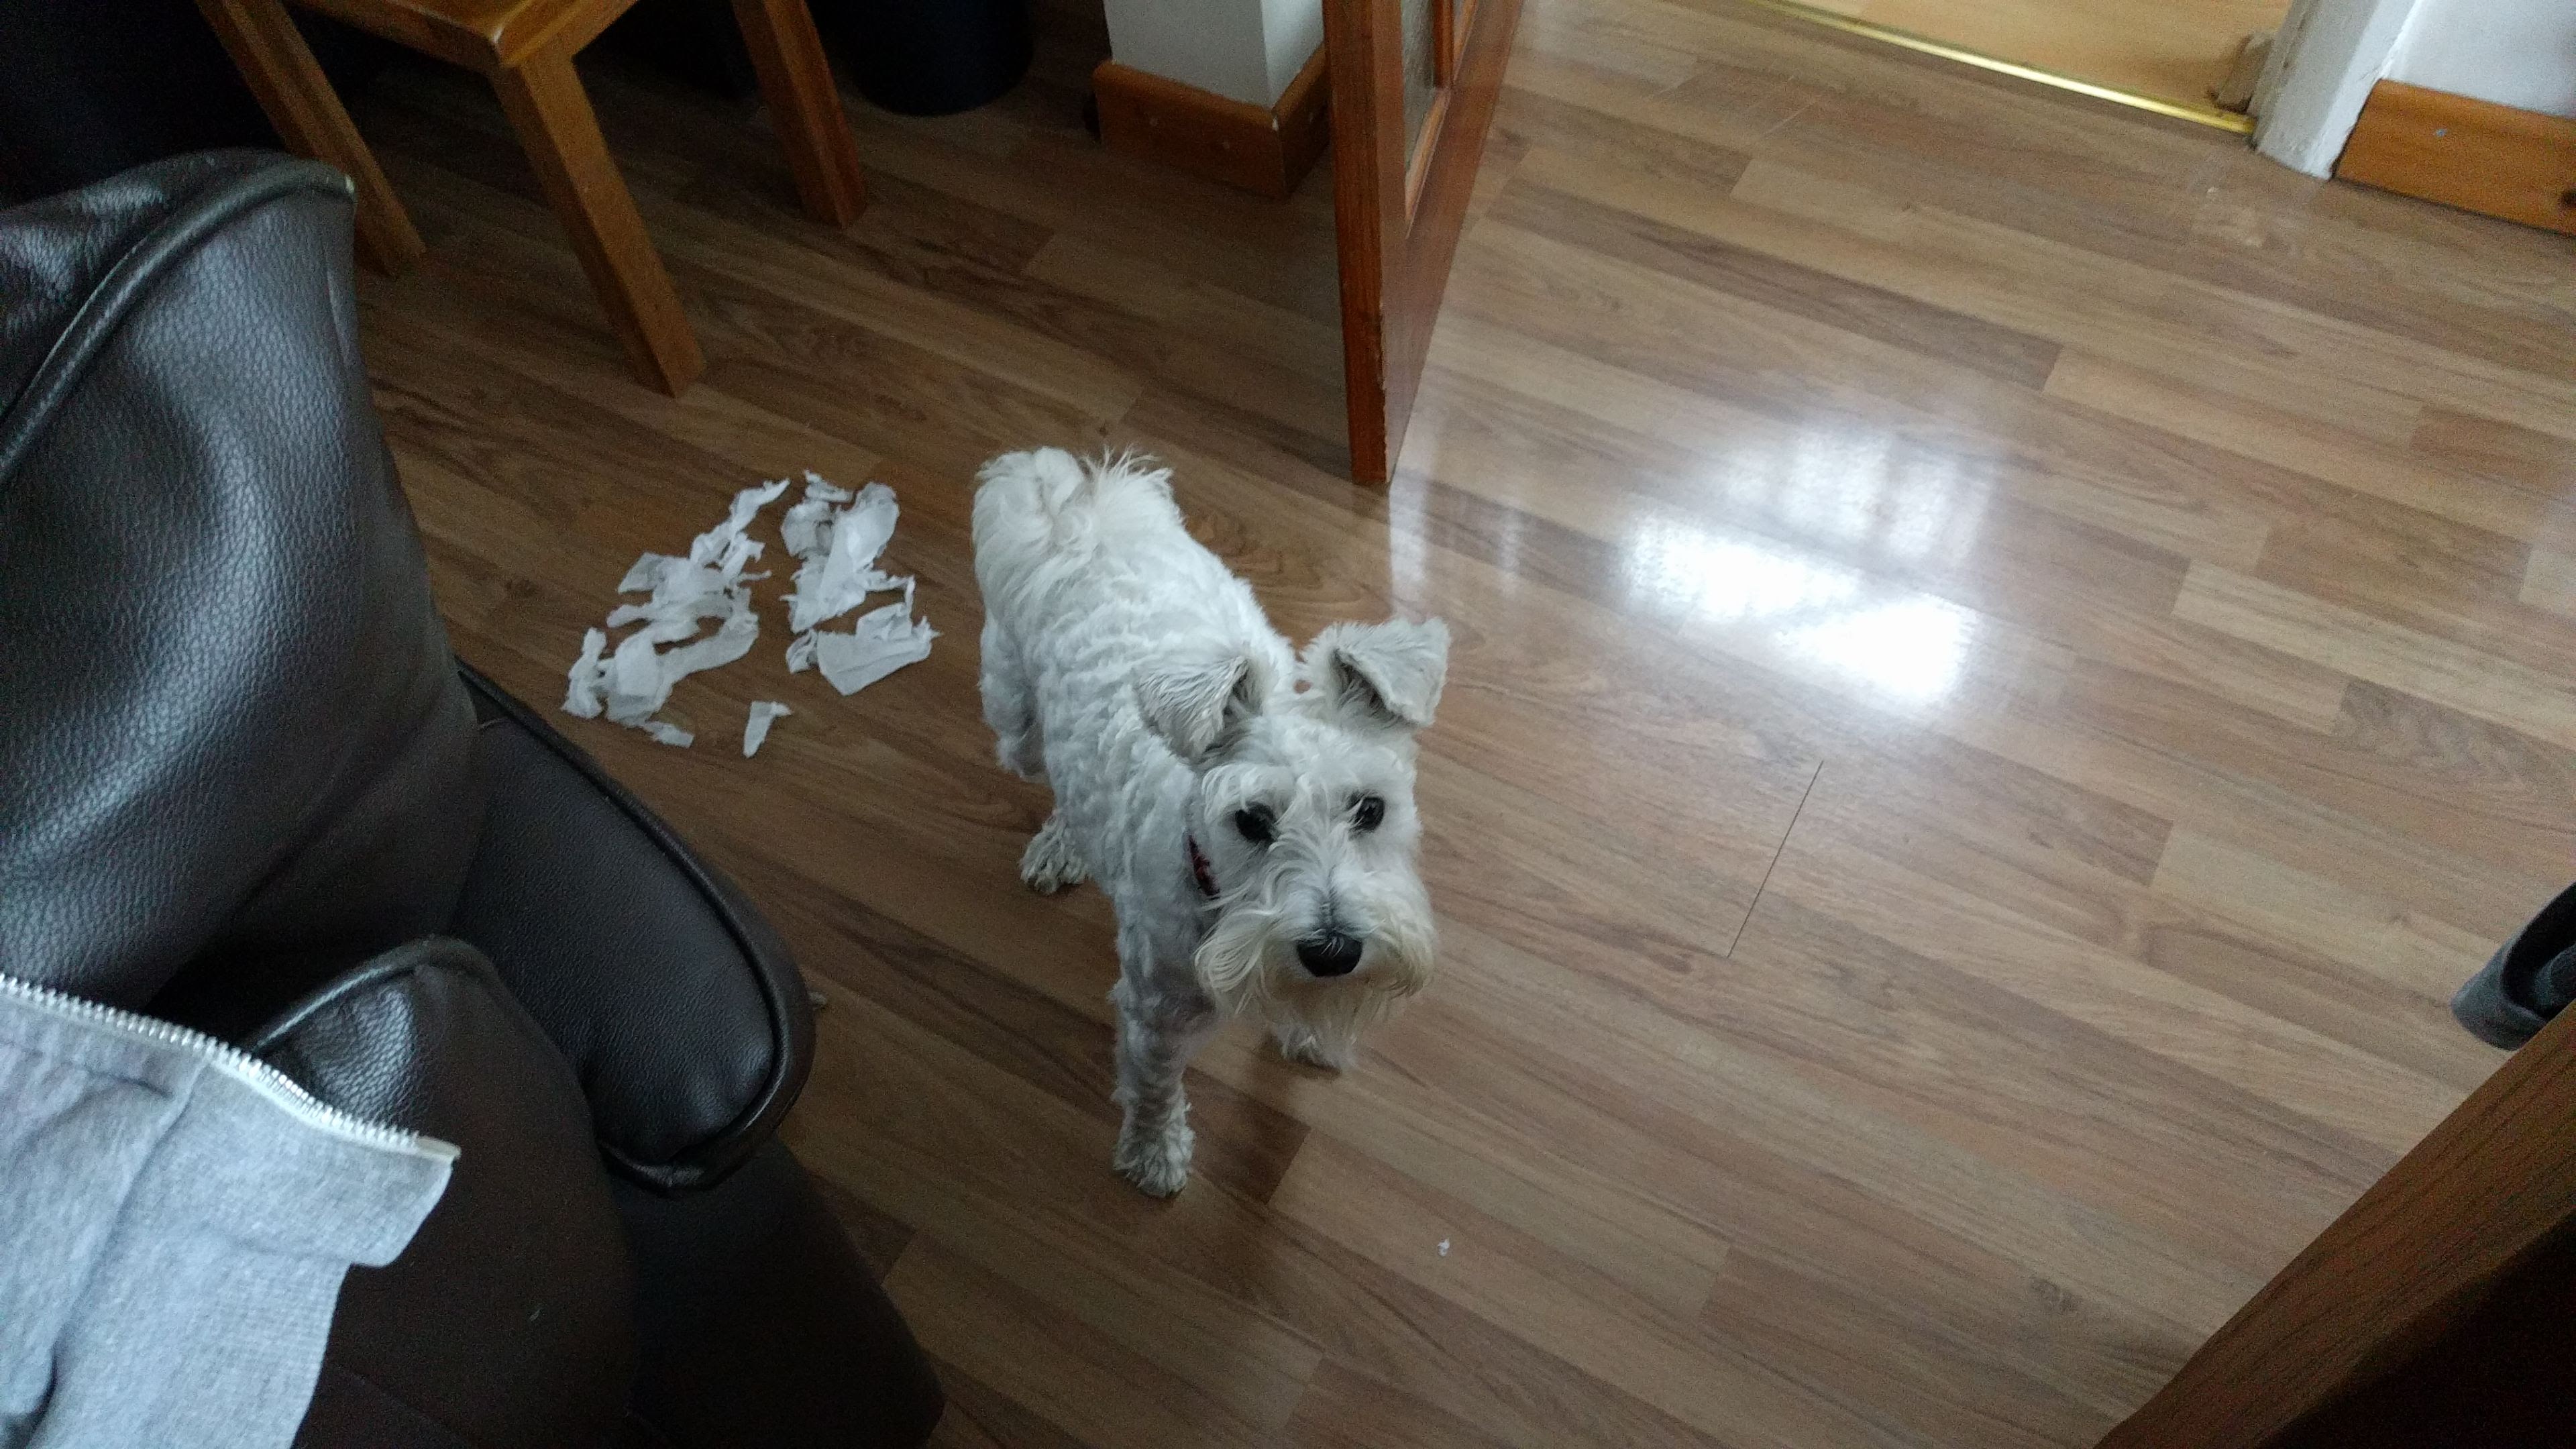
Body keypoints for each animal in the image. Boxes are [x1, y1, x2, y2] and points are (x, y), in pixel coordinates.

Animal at [968, 451, 1452, 1196]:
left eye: (1370, 809)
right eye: (1251, 821)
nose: (1333, 952)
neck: (1206, 876)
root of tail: (1083, 524)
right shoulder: (1157, 1017)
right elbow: (1155, 1089)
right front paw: (1154, 1152)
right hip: (1015, 722)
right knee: (1047, 777)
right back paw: (1059, 844)